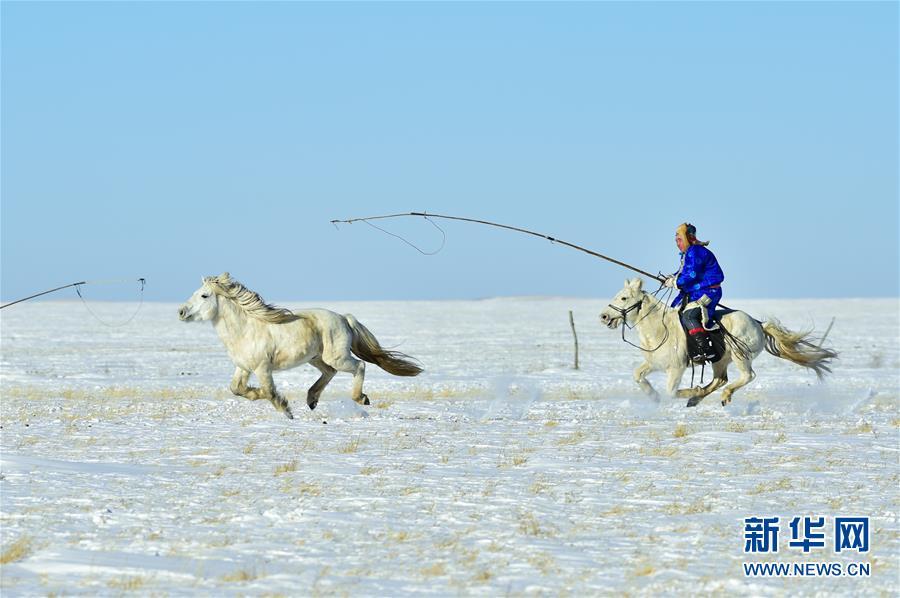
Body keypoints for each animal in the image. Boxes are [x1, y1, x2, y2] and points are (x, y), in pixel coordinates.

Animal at [178, 273, 423, 419]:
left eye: (204, 295)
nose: (181, 312)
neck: (245, 330)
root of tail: (344, 318)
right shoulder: (243, 367)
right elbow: (237, 389)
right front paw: (265, 398)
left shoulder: (262, 368)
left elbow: (269, 391)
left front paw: (285, 409)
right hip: (317, 358)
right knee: (329, 372)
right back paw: (312, 399)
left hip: (337, 357)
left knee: (359, 366)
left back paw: (360, 398)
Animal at [598, 278, 837, 407]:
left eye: (623, 298)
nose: (604, 316)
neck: (659, 328)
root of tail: (758, 324)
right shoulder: (654, 363)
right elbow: (637, 375)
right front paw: (654, 396)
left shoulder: (676, 368)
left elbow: (671, 391)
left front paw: (688, 392)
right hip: (720, 360)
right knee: (720, 379)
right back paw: (698, 398)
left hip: (740, 356)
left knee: (746, 376)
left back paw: (719, 396)